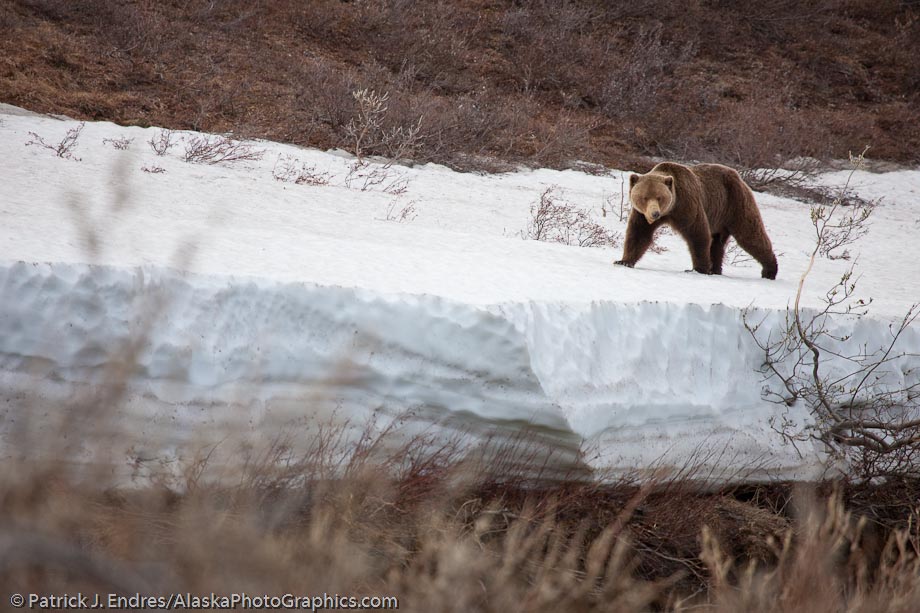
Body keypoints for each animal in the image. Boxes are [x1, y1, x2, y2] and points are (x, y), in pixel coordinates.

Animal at [616, 160, 780, 280]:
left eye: (659, 197)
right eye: (644, 197)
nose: (654, 214)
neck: (670, 210)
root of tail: (738, 176)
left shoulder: (687, 205)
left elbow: (697, 234)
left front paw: (699, 269)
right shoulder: (641, 214)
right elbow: (638, 234)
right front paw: (623, 261)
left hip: (736, 202)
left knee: (750, 234)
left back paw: (769, 271)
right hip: (719, 217)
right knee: (717, 244)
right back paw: (716, 269)